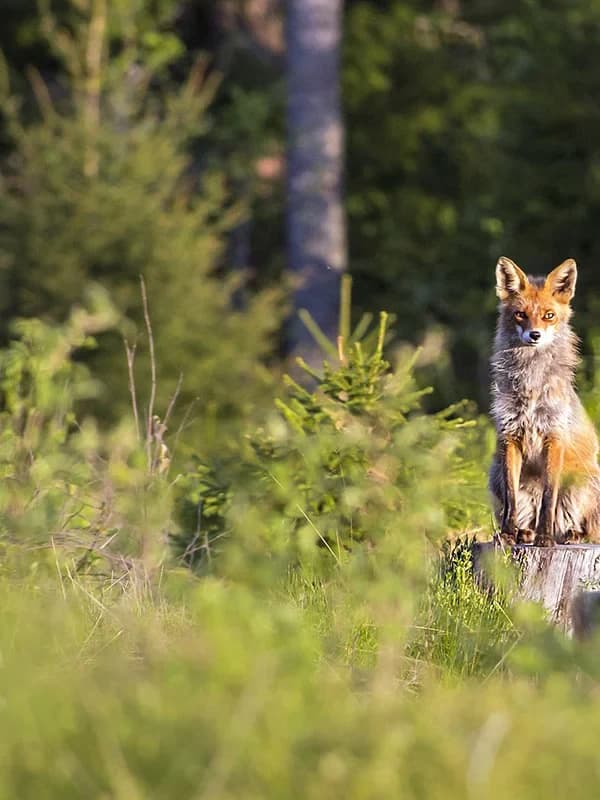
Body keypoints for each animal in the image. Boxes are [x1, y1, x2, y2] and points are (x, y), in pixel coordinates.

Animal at [489, 256, 600, 546]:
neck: (531, 385)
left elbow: (549, 497)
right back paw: (525, 533)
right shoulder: (511, 436)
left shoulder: (554, 436)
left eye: (549, 315)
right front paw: (508, 535)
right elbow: (511, 499)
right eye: (520, 314)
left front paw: (545, 538)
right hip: (494, 472)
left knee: (589, 529)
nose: (535, 335)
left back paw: (571, 534)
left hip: (585, 484)